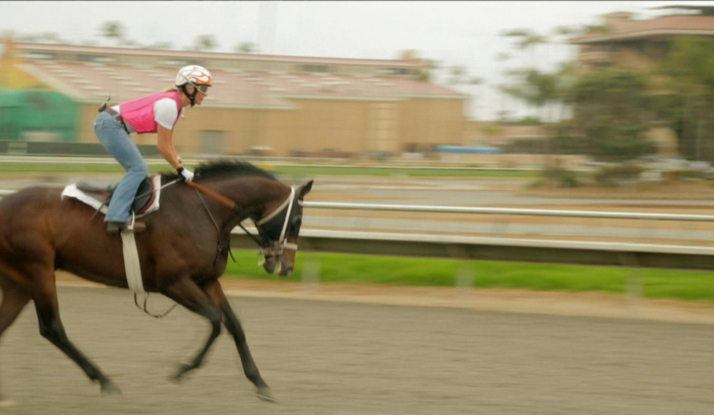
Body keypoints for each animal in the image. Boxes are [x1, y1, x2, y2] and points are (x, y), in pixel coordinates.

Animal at [0, 160, 314, 404]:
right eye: (297, 220)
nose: (287, 267)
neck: (204, 209)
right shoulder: (173, 283)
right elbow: (215, 320)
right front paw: (183, 369)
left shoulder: (207, 280)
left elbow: (234, 324)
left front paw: (259, 382)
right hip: (38, 269)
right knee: (52, 328)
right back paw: (104, 380)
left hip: (19, 282)